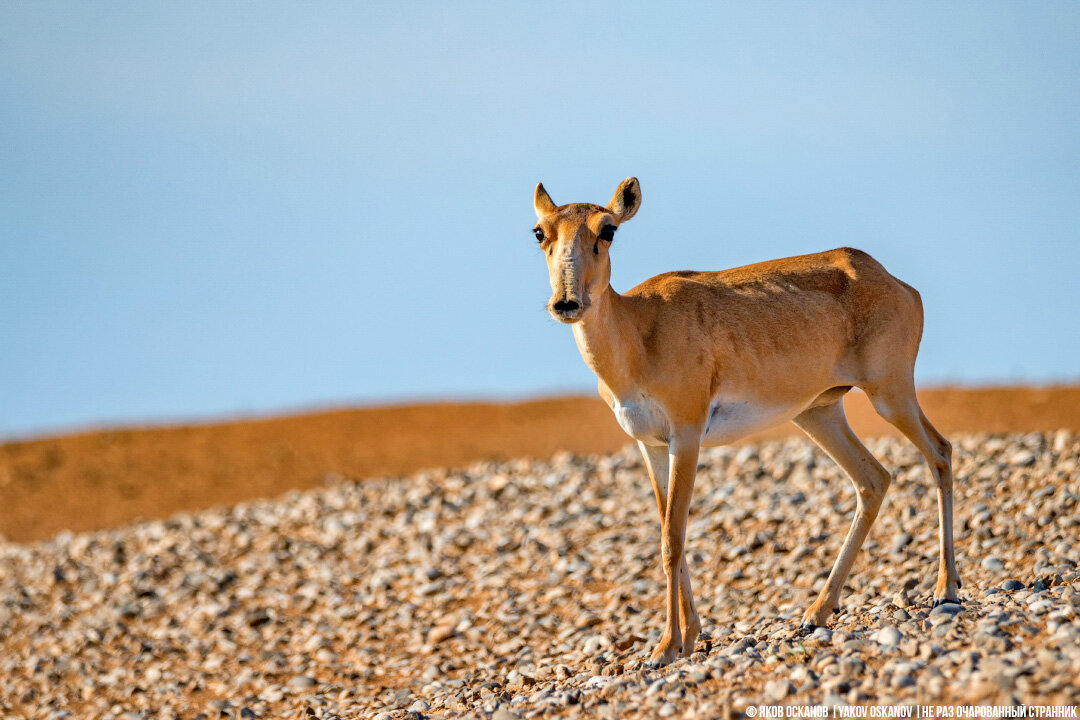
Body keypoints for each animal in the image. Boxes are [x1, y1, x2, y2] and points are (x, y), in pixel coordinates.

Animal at [531, 177, 963, 669]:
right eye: (540, 231)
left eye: (608, 230)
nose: (567, 303)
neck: (639, 329)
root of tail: (897, 283)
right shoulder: (651, 446)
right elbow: (667, 531)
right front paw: (689, 637)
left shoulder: (687, 437)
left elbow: (672, 538)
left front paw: (664, 648)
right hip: (819, 412)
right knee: (874, 478)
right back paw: (816, 613)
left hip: (890, 395)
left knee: (940, 452)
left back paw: (946, 590)